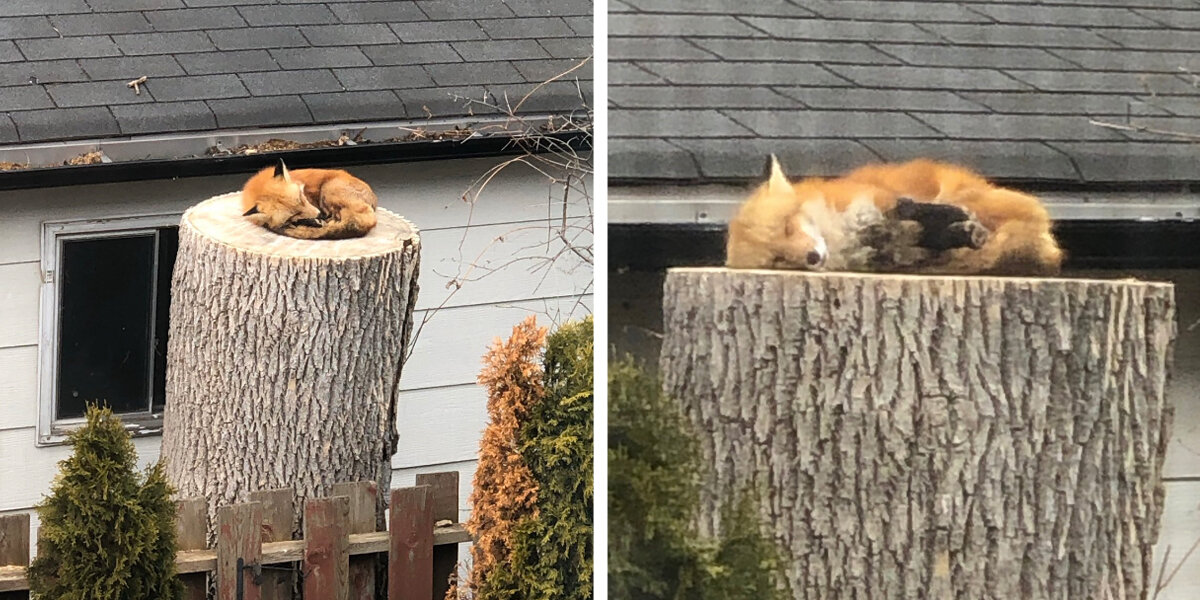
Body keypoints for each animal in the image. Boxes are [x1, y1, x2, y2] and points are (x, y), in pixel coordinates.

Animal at [725, 156, 1063, 276]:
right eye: (778, 260)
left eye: (787, 227)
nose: (811, 257)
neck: (841, 237)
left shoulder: (877, 200)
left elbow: (906, 211)